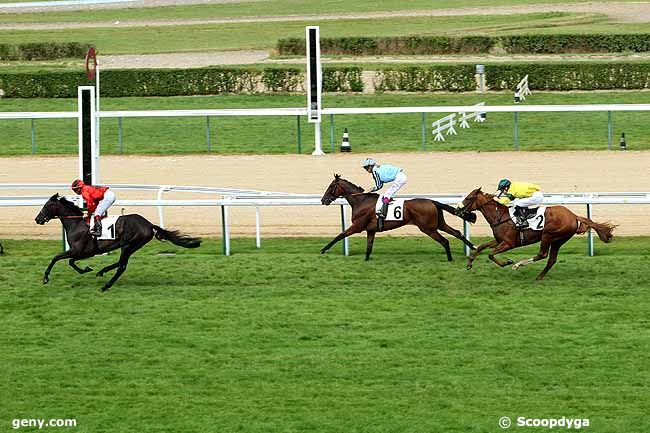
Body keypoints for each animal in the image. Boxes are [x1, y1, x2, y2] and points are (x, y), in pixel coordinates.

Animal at [33, 195, 199, 290]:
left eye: (46, 206)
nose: (37, 219)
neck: (77, 224)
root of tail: (149, 224)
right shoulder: (83, 253)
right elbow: (71, 261)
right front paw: (87, 269)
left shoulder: (79, 251)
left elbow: (58, 258)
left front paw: (46, 278)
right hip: (131, 246)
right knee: (121, 263)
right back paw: (102, 271)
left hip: (128, 245)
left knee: (122, 266)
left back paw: (105, 286)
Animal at [318, 175, 476, 260]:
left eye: (331, 186)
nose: (323, 200)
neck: (361, 201)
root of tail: (433, 202)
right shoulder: (371, 230)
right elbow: (369, 247)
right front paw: (366, 260)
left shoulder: (357, 226)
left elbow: (340, 235)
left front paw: (323, 250)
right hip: (438, 224)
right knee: (457, 233)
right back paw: (473, 247)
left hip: (428, 228)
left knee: (445, 241)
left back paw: (450, 258)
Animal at [454, 187, 616, 278]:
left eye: (468, 198)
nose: (457, 210)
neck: (500, 216)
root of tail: (574, 216)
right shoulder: (499, 240)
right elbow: (481, 247)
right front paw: (469, 263)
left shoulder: (509, 243)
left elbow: (490, 254)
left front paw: (507, 262)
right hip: (559, 240)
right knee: (551, 260)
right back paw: (539, 277)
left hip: (548, 235)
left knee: (543, 254)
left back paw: (518, 265)